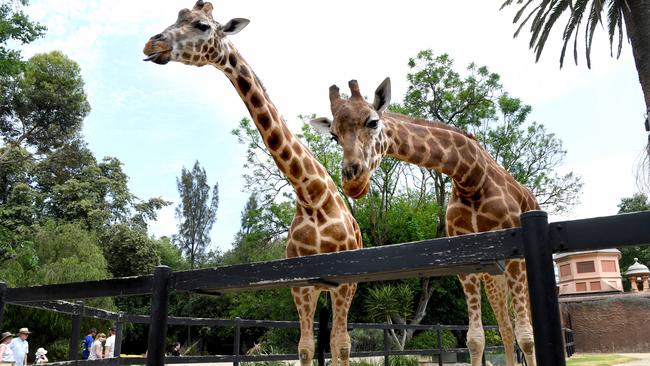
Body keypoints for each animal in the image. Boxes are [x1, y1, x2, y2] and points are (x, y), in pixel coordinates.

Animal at [142, 1, 362, 364]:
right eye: (177, 16)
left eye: (202, 25)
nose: (151, 44)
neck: (313, 197)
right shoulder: (301, 285)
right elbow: (305, 347)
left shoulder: (343, 281)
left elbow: (340, 344)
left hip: (347, 287)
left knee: (340, 341)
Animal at [308, 78, 536, 364]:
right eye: (334, 136)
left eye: (372, 122)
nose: (352, 180)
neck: (472, 178)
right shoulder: (466, 260)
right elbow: (475, 339)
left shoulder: (516, 255)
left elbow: (526, 336)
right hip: (495, 276)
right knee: (505, 327)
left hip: (520, 268)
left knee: (524, 327)